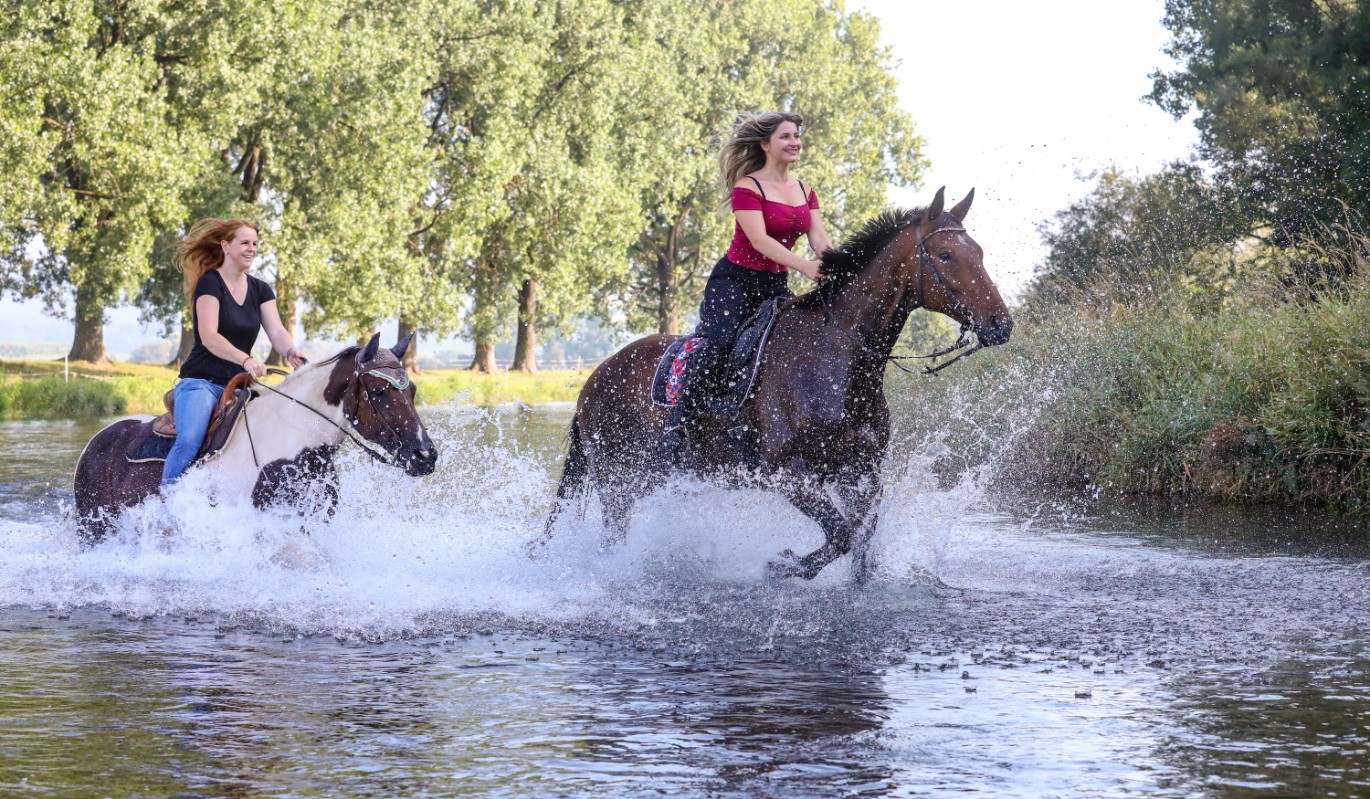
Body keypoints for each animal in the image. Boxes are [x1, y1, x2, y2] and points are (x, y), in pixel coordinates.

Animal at [72, 334, 435, 548]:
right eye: (379, 391)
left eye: (413, 391)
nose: (425, 456)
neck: (295, 443)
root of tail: (98, 440)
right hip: (94, 528)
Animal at [539, 187, 1013, 581]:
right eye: (946, 255)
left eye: (980, 251)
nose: (1001, 325)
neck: (835, 358)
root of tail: (593, 381)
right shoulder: (787, 473)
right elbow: (841, 535)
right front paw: (782, 565)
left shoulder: (861, 471)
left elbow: (861, 541)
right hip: (618, 481)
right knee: (612, 540)